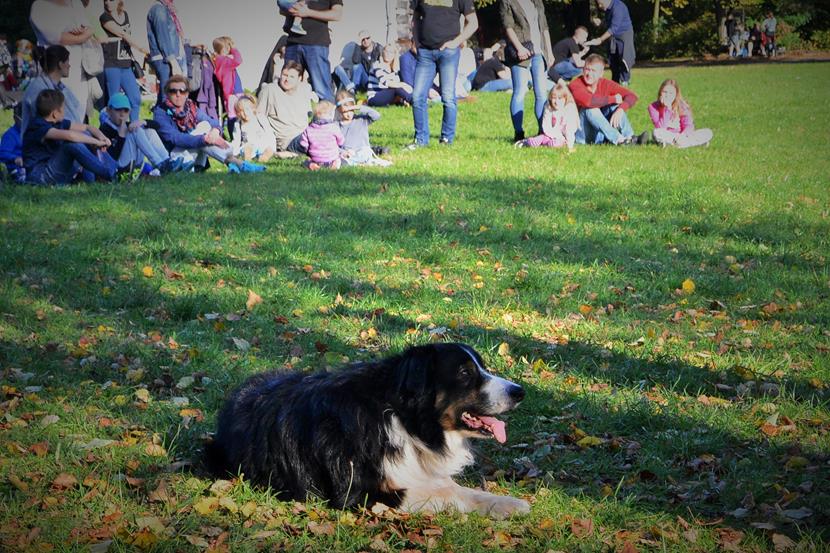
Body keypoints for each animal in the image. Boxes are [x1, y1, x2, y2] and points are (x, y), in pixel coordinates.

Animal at [208, 340, 532, 516]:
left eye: (483, 367)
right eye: (465, 373)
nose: (519, 392)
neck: (402, 419)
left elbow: (456, 487)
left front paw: (508, 503)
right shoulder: (360, 492)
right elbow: (445, 492)